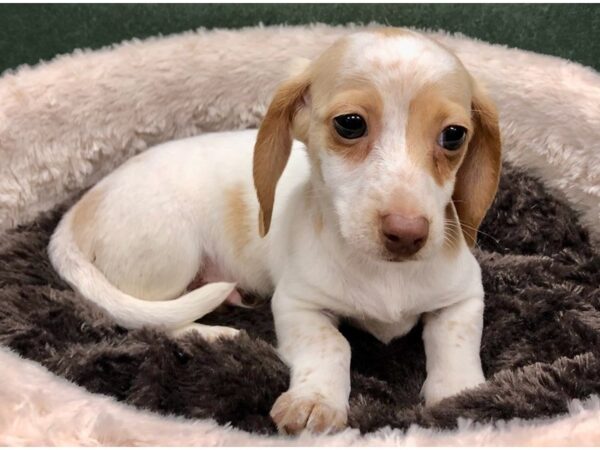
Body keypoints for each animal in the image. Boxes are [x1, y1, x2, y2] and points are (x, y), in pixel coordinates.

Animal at [50, 29, 502, 436]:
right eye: (350, 124)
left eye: (454, 135)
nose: (407, 234)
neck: (383, 273)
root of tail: (76, 211)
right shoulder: (298, 305)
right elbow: (332, 345)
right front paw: (315, 399)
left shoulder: (464, 297)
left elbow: (455, 342)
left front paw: (461, 396)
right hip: (172, 255)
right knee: (153, 320)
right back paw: (214, 335)